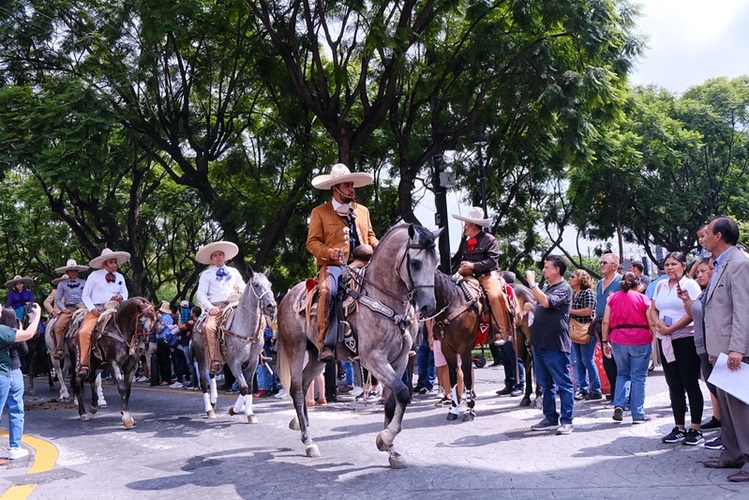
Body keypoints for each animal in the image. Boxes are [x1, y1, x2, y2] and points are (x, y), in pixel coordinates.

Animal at [65, 298, 155, 428]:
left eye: (154, 322)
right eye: (140, 323)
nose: (143, 347)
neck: (121, 331)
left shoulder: (131, 366)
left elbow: (127, 390)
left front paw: (127, 415)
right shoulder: (114, 364)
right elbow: (122, 388)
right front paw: (126, 418)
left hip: (97, 364)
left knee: (92, 379)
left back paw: (93, 405)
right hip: (77, 363)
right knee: (77, 383)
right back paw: (83, 413)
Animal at [191, 270, 276, 422]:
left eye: (270, 284)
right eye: (256, 285)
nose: (271, 306)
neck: (246, 330)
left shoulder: (253, 362)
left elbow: (249, 386)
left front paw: (249, 413)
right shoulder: (234, 363)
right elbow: (243, 387)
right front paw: (234, 410)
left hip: (215, 359)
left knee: (212, 374)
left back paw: (214, 401)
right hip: (201, 358)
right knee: (204, 381)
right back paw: (209, 409)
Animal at [274, 224, 438, 468]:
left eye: (436, 261)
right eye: (416, 263)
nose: (429, 306)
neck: (385, 298)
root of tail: (287, 297)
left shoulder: (399, 359)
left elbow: (393, 400)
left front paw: (391, 450)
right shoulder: (373, 358)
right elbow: (402, 392)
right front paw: (385, 438)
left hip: (318, 357)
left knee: (303, 386)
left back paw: (301, 426)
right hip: (296, 348)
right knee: (296, 389)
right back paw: (308, 441)